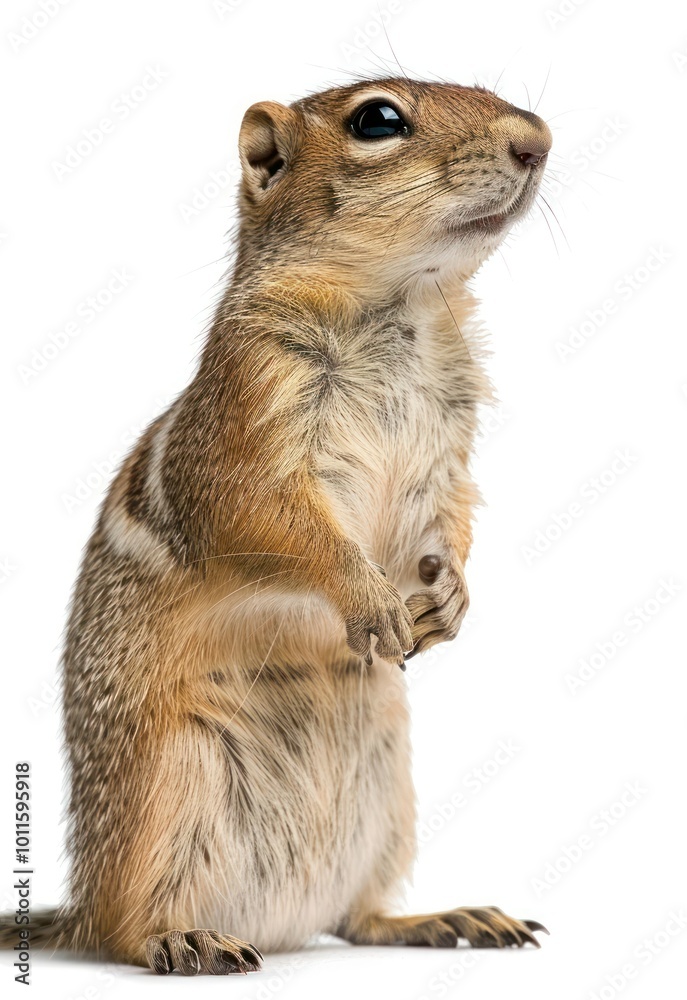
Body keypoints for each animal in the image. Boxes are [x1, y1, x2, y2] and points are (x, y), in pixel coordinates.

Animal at [2, 77, 551, 975]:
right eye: (377, 119)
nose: (536, 139)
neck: (401, 306)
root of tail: (274, 927)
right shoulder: (247, 432)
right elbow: (280, 524)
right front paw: (370, 597)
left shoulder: (447, 454)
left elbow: (451, 515)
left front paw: (452, 597)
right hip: (167, 783)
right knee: (123, 929)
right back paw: (179, 936)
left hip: (386, 793)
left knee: (356, 918)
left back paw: (444, 918)